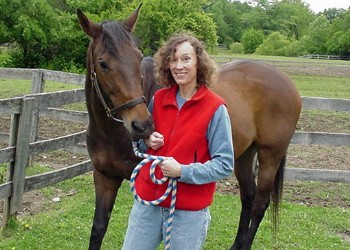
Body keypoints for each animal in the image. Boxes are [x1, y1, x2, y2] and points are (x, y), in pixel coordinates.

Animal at [78, 4, 302, 250]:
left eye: (138, 58)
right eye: (103, 64)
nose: (142, 125)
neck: (110, 132)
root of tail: (284, 80)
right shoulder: (104, 177)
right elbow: (98, 229)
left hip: (270, 155)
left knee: (260, 204)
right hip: (243, 155)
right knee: (248, 197)